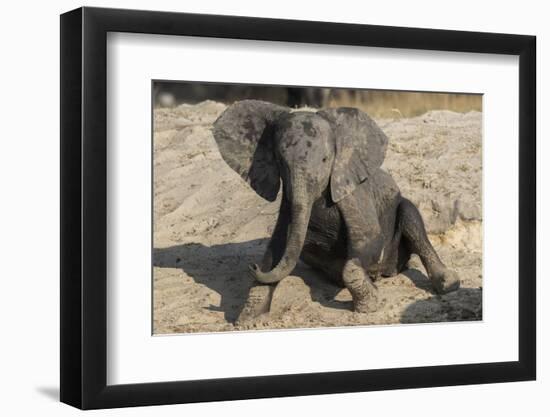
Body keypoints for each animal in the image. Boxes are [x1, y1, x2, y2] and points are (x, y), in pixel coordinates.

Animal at [212, 100, 462, 316]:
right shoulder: (287, 203)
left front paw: (369, 305)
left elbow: (370, 238)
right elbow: (277, 250)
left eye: (325, 160)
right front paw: (248, 318)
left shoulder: (351, 193)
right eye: (281, 162)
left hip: (402, 215)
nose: (252, 266)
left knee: (411, 218)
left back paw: (448, 284)